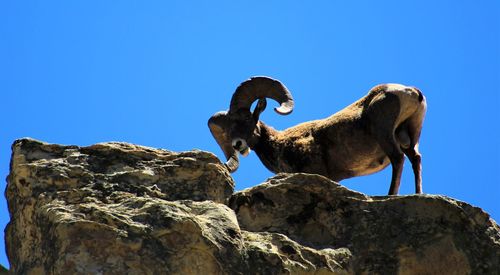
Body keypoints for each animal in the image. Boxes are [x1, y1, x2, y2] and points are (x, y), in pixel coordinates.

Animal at [207, 76, 426, 195]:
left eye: (246, 118)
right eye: (227, 130)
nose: (237, 144)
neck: (279, 144)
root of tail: (410, 92)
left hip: (385, 134)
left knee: (398, 159)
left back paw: (390, 195)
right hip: (410, 136)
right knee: (415, 159)